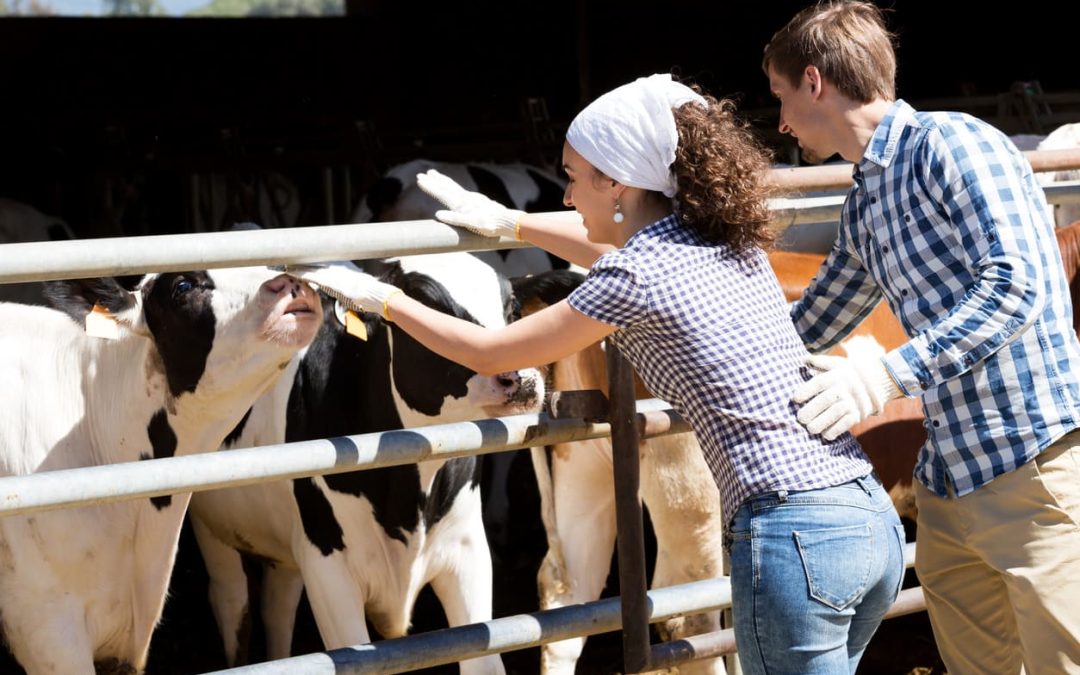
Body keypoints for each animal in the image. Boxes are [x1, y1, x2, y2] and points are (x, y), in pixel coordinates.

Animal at [187, 250, 548, 669]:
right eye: (426, 301)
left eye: (512, 307)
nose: (521, 378)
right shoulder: (329, 569)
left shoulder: (467, 553)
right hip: (211, 526)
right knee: (232, 603)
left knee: (278, 606)